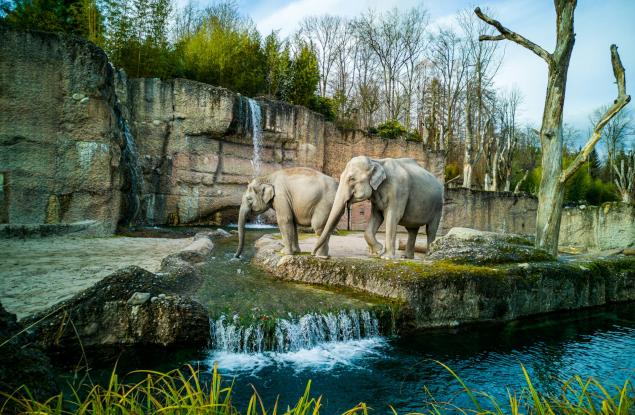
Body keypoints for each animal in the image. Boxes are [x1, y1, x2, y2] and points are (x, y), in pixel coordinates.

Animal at [312, 157, 442, 260]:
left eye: (352, 179)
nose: (313, 254)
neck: (376, 161)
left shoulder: (398, 191)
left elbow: (392, 217)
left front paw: (385, 257)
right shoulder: (376, 197)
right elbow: (376, 217)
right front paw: (377, 250)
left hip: (438, 206)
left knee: (431, 230)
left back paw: (428, 257)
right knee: (412, 230)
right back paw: (406, 257)